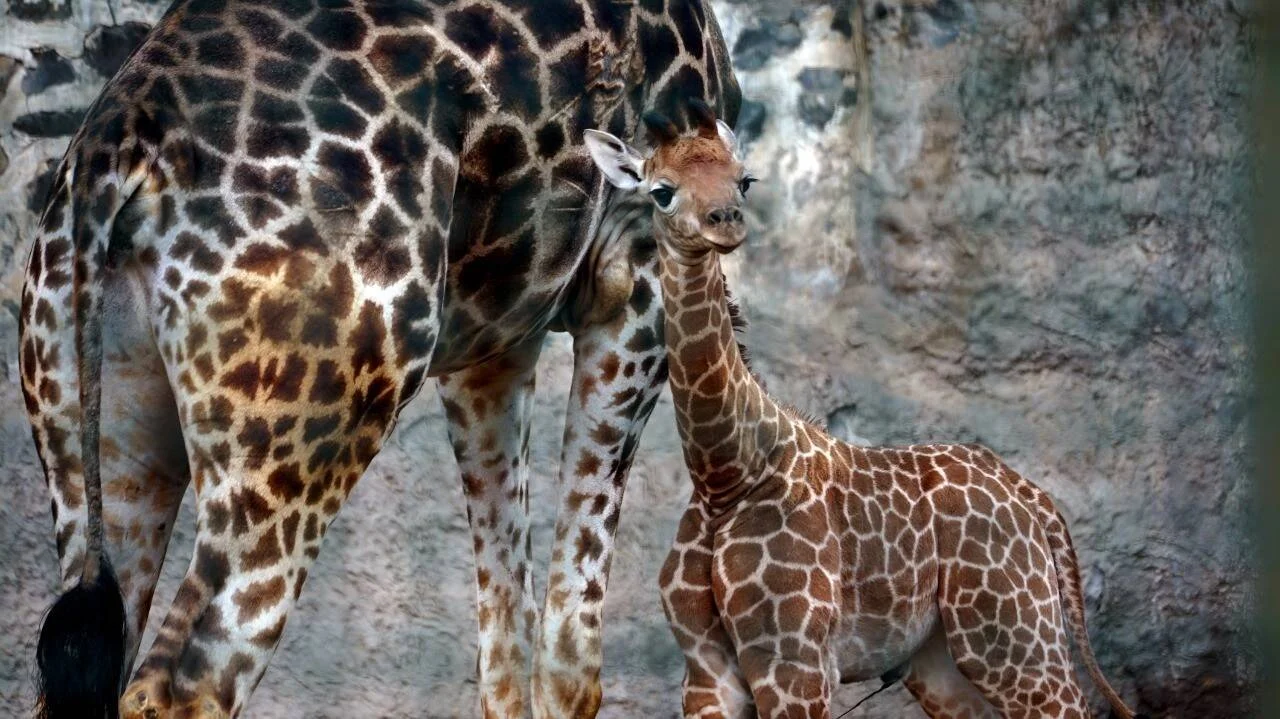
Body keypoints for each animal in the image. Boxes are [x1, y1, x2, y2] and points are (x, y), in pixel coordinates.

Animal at [19, 2, 740, 717]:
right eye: (674, 194)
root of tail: (121, 142)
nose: (728, 220)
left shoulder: (495, 344)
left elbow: (507, 639)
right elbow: (570, 658)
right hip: (303, 439)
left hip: (98, 435)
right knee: (184, 684)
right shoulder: (634, 286)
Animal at [583, 101, 1146, 719]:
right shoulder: (707, 673)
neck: (724, 473)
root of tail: (1032, 497)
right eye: (661, 191)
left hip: (1014, 632)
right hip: (940, 657)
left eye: (745, 179)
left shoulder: (797, 663)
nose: (725, 220)